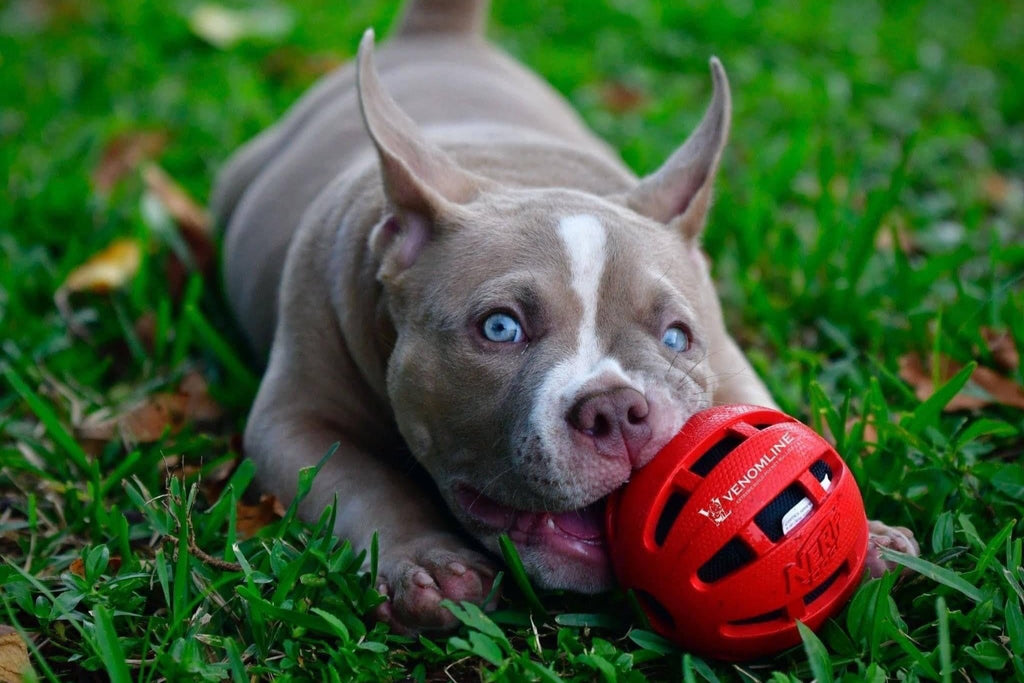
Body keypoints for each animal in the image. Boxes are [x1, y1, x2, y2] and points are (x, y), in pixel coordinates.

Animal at [209, 0, 921, 634]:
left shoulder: (726, 356)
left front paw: (864, 536)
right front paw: (427, 562)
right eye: (500, 328)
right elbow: (360, 482)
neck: (514, 174)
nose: (618, 412)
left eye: (677, 337)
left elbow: (766, 419)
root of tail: (439, 34)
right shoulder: (293, 420)